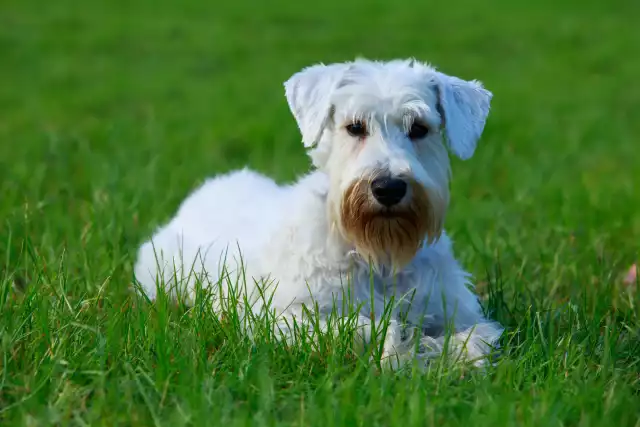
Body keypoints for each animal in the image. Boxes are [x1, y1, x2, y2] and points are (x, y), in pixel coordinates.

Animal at [135, 57, 502, 368]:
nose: (388, 188)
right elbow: (365, 329)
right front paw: (402, 350)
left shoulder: (461, 313)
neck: (376, 252)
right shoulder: (281, 317)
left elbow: (474, 341)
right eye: (355, 127)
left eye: (419, 128)